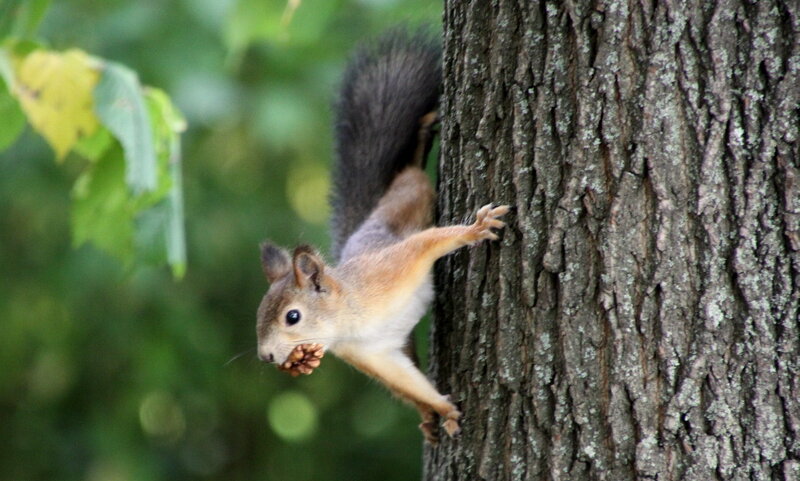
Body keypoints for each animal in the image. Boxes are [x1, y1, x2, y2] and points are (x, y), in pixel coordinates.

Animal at [253, 29, 510, 442]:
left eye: (292, 317)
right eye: (261, 312)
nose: (267, 357)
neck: (350, 318)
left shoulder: (392, 267)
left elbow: (429, 242)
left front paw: (475, 228)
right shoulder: (373, 356)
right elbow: (407, 380)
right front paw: (442, 408)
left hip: (406, 198)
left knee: (411, 174)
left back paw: (420, 137)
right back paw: (426, 417)